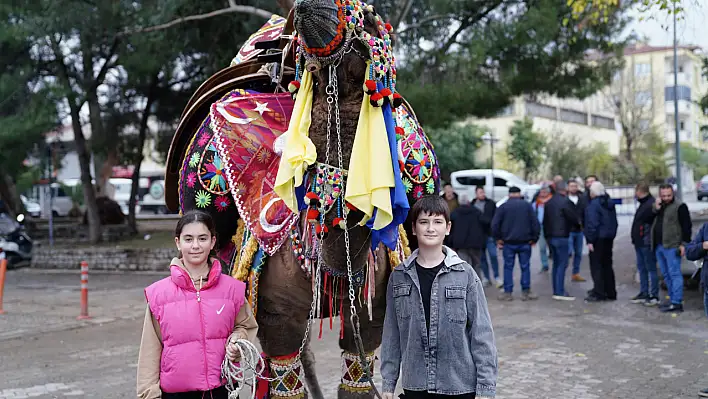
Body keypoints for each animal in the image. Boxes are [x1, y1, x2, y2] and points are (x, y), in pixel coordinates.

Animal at [166, 1, 440, 398]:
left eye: (371, 20)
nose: (307, 7)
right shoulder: (277, 317)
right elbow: (285, 376)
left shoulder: (372, 312)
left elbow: (357, 376)